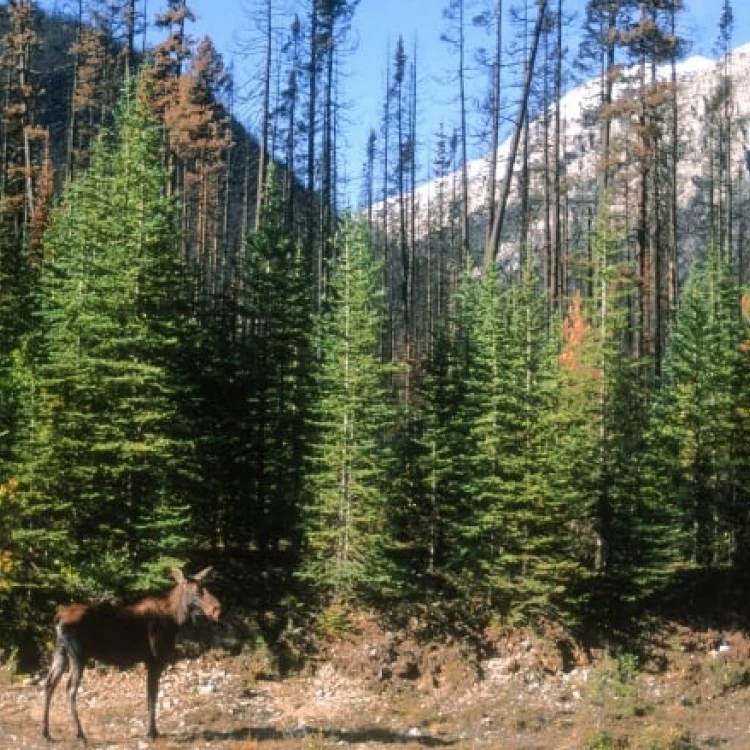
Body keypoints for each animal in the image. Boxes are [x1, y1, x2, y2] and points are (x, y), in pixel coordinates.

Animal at [40, 568, 220, 740]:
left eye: (206, 587)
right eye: (197, 591)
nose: (217, 609)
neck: (175, 621)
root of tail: (58, 617)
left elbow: (151, 696)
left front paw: (154, 731)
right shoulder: (155, 660)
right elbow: (152, 696)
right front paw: (151, 733)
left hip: (60, 652)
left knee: (49, 684)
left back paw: (46, 733)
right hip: (78, 655)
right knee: (70, 690)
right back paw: (80, 734)